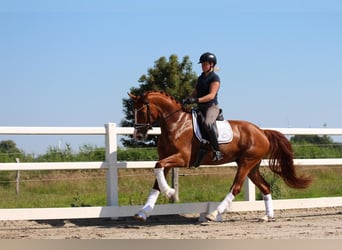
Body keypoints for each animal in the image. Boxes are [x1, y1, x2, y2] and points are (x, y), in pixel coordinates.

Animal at [128, 90, 312, 223]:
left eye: (142, 111)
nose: (138, 135)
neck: (176, 124)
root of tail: (262, 132)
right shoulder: (168, 159)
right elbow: (156, 181)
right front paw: (143, 212)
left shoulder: (182, 158)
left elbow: (158, 166)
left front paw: (170, 192)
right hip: (253, 166)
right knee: (265, 187)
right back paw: (267, 216)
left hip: (246, 163)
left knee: (236, 187)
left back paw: (214, 214)